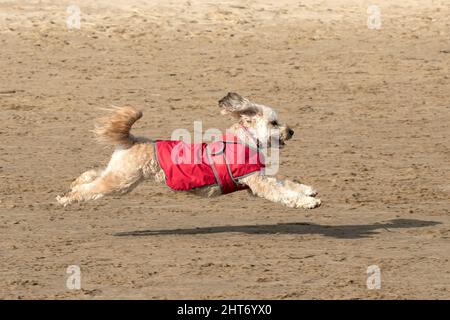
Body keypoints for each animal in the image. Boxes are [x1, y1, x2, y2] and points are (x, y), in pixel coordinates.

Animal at [56, 92, 320, 209]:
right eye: (274, 123)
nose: (291, 131)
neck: (244, 141)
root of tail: (132, 139)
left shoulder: (257, 180)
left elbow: (286, 183)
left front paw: (308, 190)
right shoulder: (257, 182)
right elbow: (282, 193)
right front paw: (307, 201)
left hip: (120, 174)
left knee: (92, 174)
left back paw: (73, 184)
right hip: (121, 182)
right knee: (90, 189)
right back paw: (67, 197)